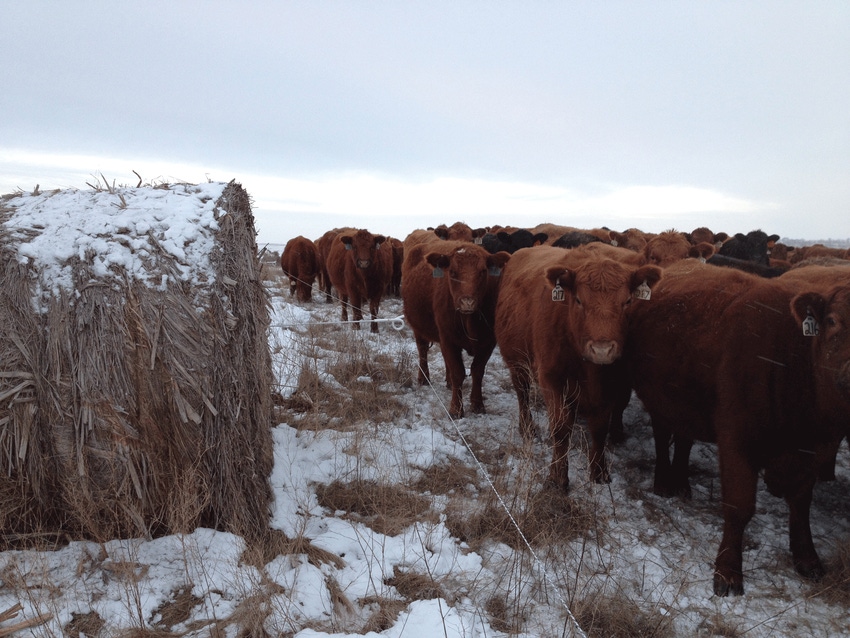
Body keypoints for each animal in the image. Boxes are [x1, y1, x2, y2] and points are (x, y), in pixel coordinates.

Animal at [400, 241, 506, 420]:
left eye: (483, 271)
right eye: (452, 271)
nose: (467, 302)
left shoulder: (488, 342)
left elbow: (477, 371)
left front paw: (477, 404)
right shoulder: (448, 338)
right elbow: (458, 372)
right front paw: (456, 409)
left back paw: (448, 382)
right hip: (418, 327)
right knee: (422, 351)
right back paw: (424, 378)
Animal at [494, 245, 664, 490]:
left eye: (627, 301)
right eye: (579, 300)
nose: (602, 349)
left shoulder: (612, 384)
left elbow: (600, 428)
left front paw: (599, 471)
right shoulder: (551, 380)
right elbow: (560, 429)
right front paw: (558, 477)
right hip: (517, 363)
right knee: (522, 394)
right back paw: (527, 427)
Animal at [624, 258, 848, 596]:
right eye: (832, 321)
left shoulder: (813, 450)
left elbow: (801, 503)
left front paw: (807, 558)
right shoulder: (737, 440)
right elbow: (739, 507)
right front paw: (728, 572)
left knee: (684, 440)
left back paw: (682, 484)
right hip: (659, 399)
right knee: (663, 437)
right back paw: (664, 483)